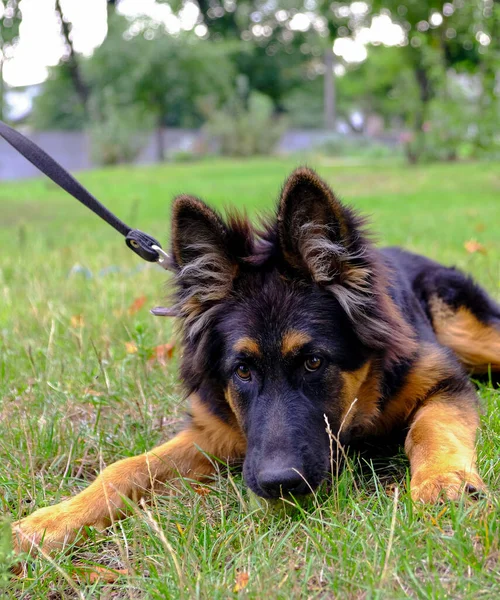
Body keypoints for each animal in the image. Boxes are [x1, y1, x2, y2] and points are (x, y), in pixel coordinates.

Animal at [11, 168, 500, 552]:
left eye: (314, 362)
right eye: (242, 370)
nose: (277, 486)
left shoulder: (444, 383)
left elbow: (429, 429)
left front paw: (443, 481)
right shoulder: (215, 433)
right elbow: (126, 467)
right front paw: (55, 519)